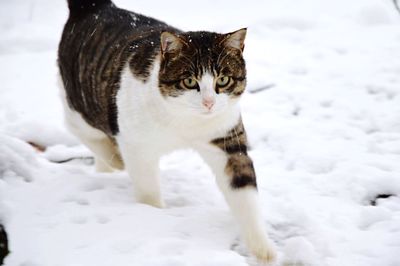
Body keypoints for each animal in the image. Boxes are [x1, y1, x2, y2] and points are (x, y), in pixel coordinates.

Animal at [58, 0, 276, 262]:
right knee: (80, 128)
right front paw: (155, 216)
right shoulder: (137, 146)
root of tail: (94, 7)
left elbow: (244, 190)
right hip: (81, 102)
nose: (209, 103)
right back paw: (115, 158)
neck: (187, 122)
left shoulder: (227, 140)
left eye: (223, 80)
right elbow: (148, 190)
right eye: (190, 81)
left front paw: (263, 249)